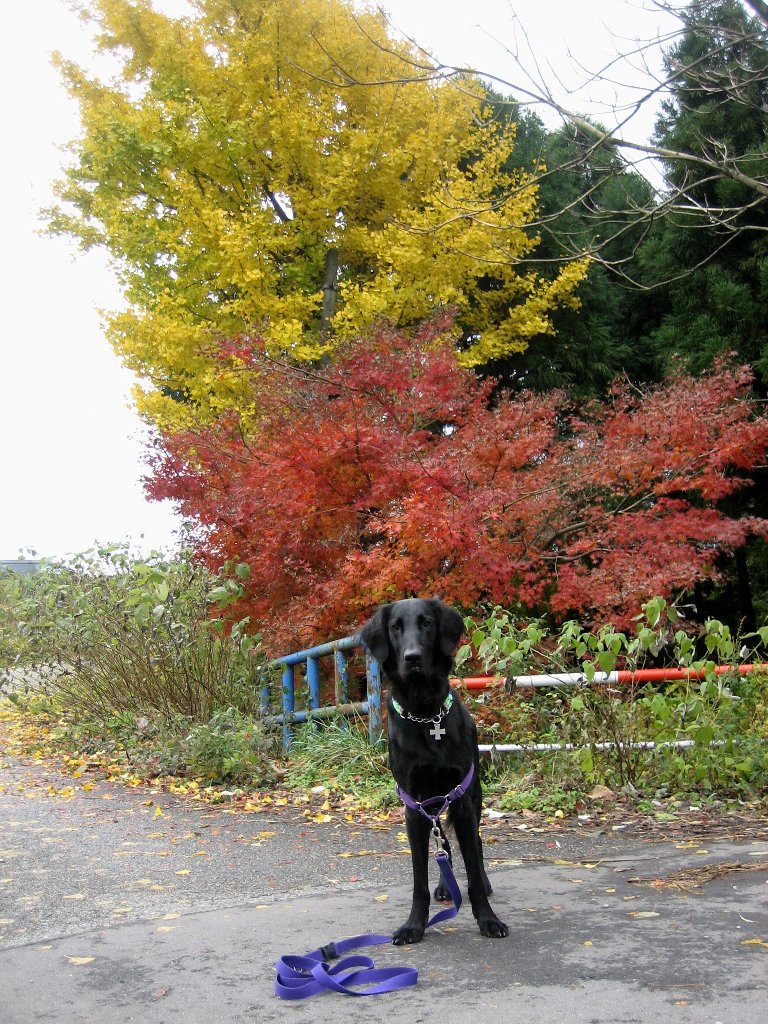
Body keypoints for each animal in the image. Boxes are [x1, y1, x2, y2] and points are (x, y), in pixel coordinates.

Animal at [359, 597, 508, 945]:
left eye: (426, 622)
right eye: (395, 627)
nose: (412, 658)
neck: (426, 715)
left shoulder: (461, 799)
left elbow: (473, 872)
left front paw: (487, 920)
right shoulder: (414, 806)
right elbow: (420, 880)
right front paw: (414, 925)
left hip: (472, 794)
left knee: (475, 843)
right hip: (434, 803)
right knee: (444, 847)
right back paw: (444, 886)